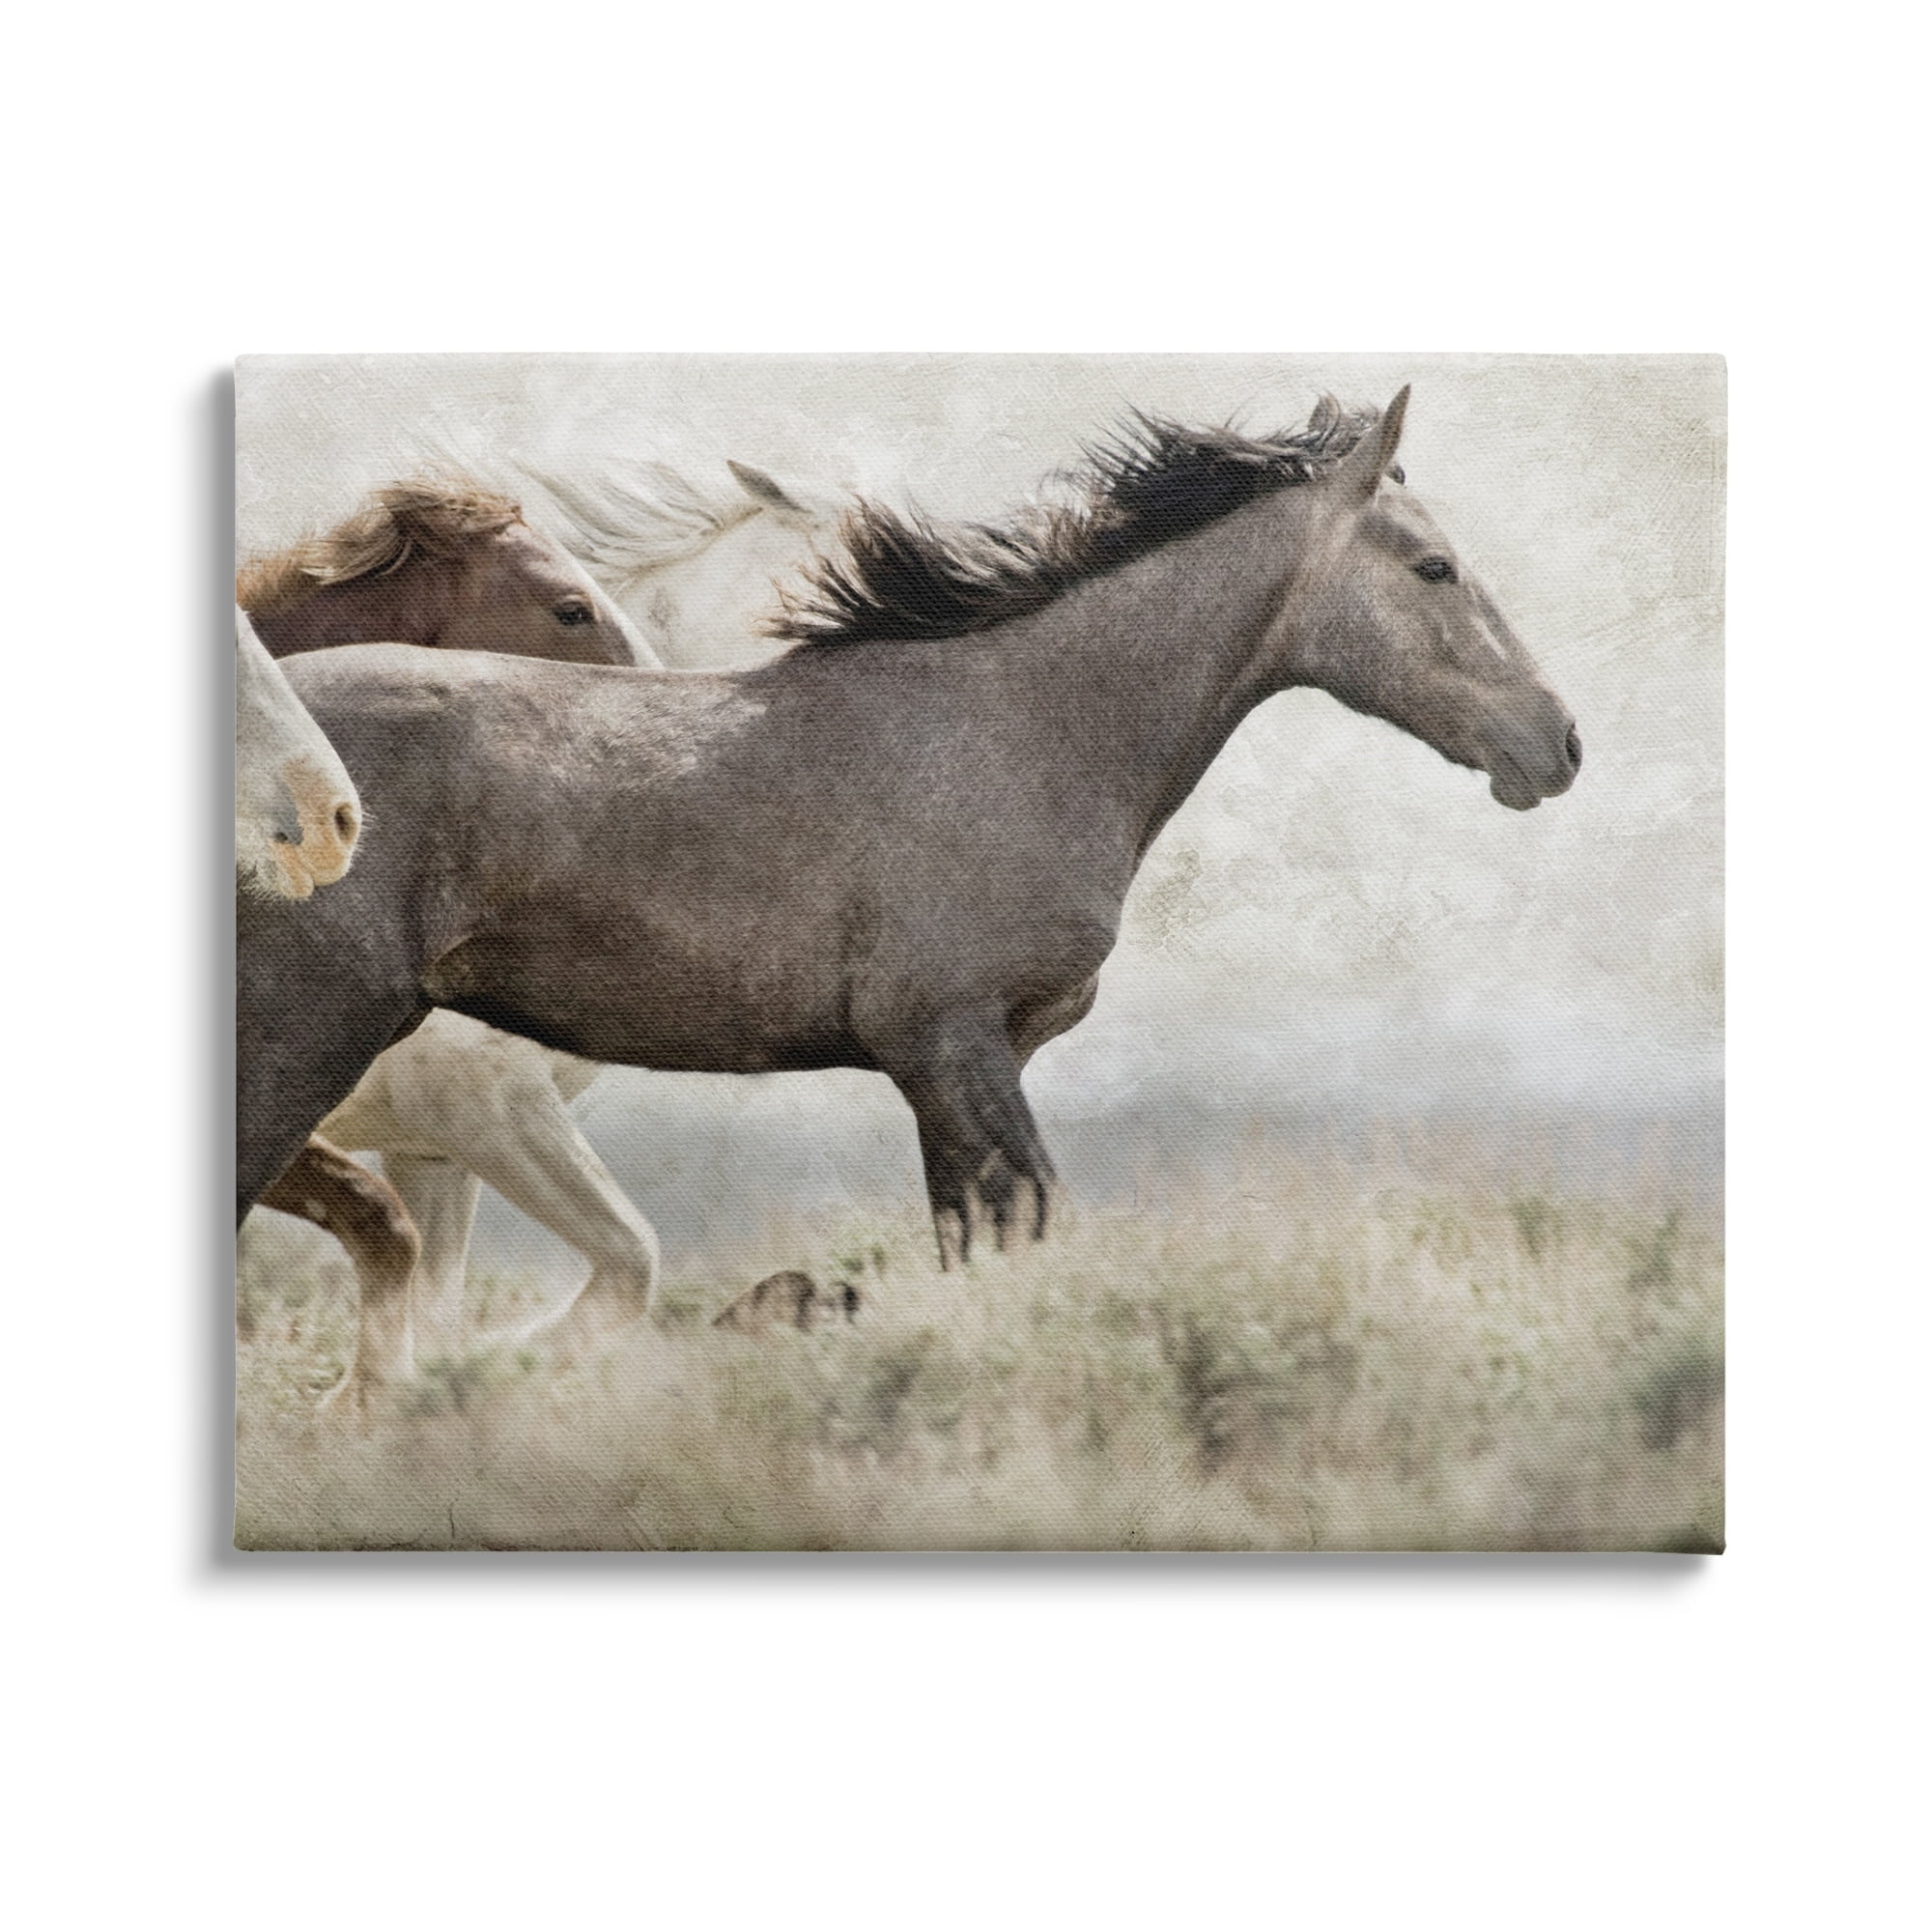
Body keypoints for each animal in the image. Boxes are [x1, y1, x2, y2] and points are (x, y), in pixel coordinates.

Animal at [237, 389, 1581, 1307]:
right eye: (1433, 566)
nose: (1555, 743)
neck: (1016, 726)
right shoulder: (951, 1044)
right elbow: (1030, 1231)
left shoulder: (961, 1066)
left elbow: (976, 1250)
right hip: (306, 1042)